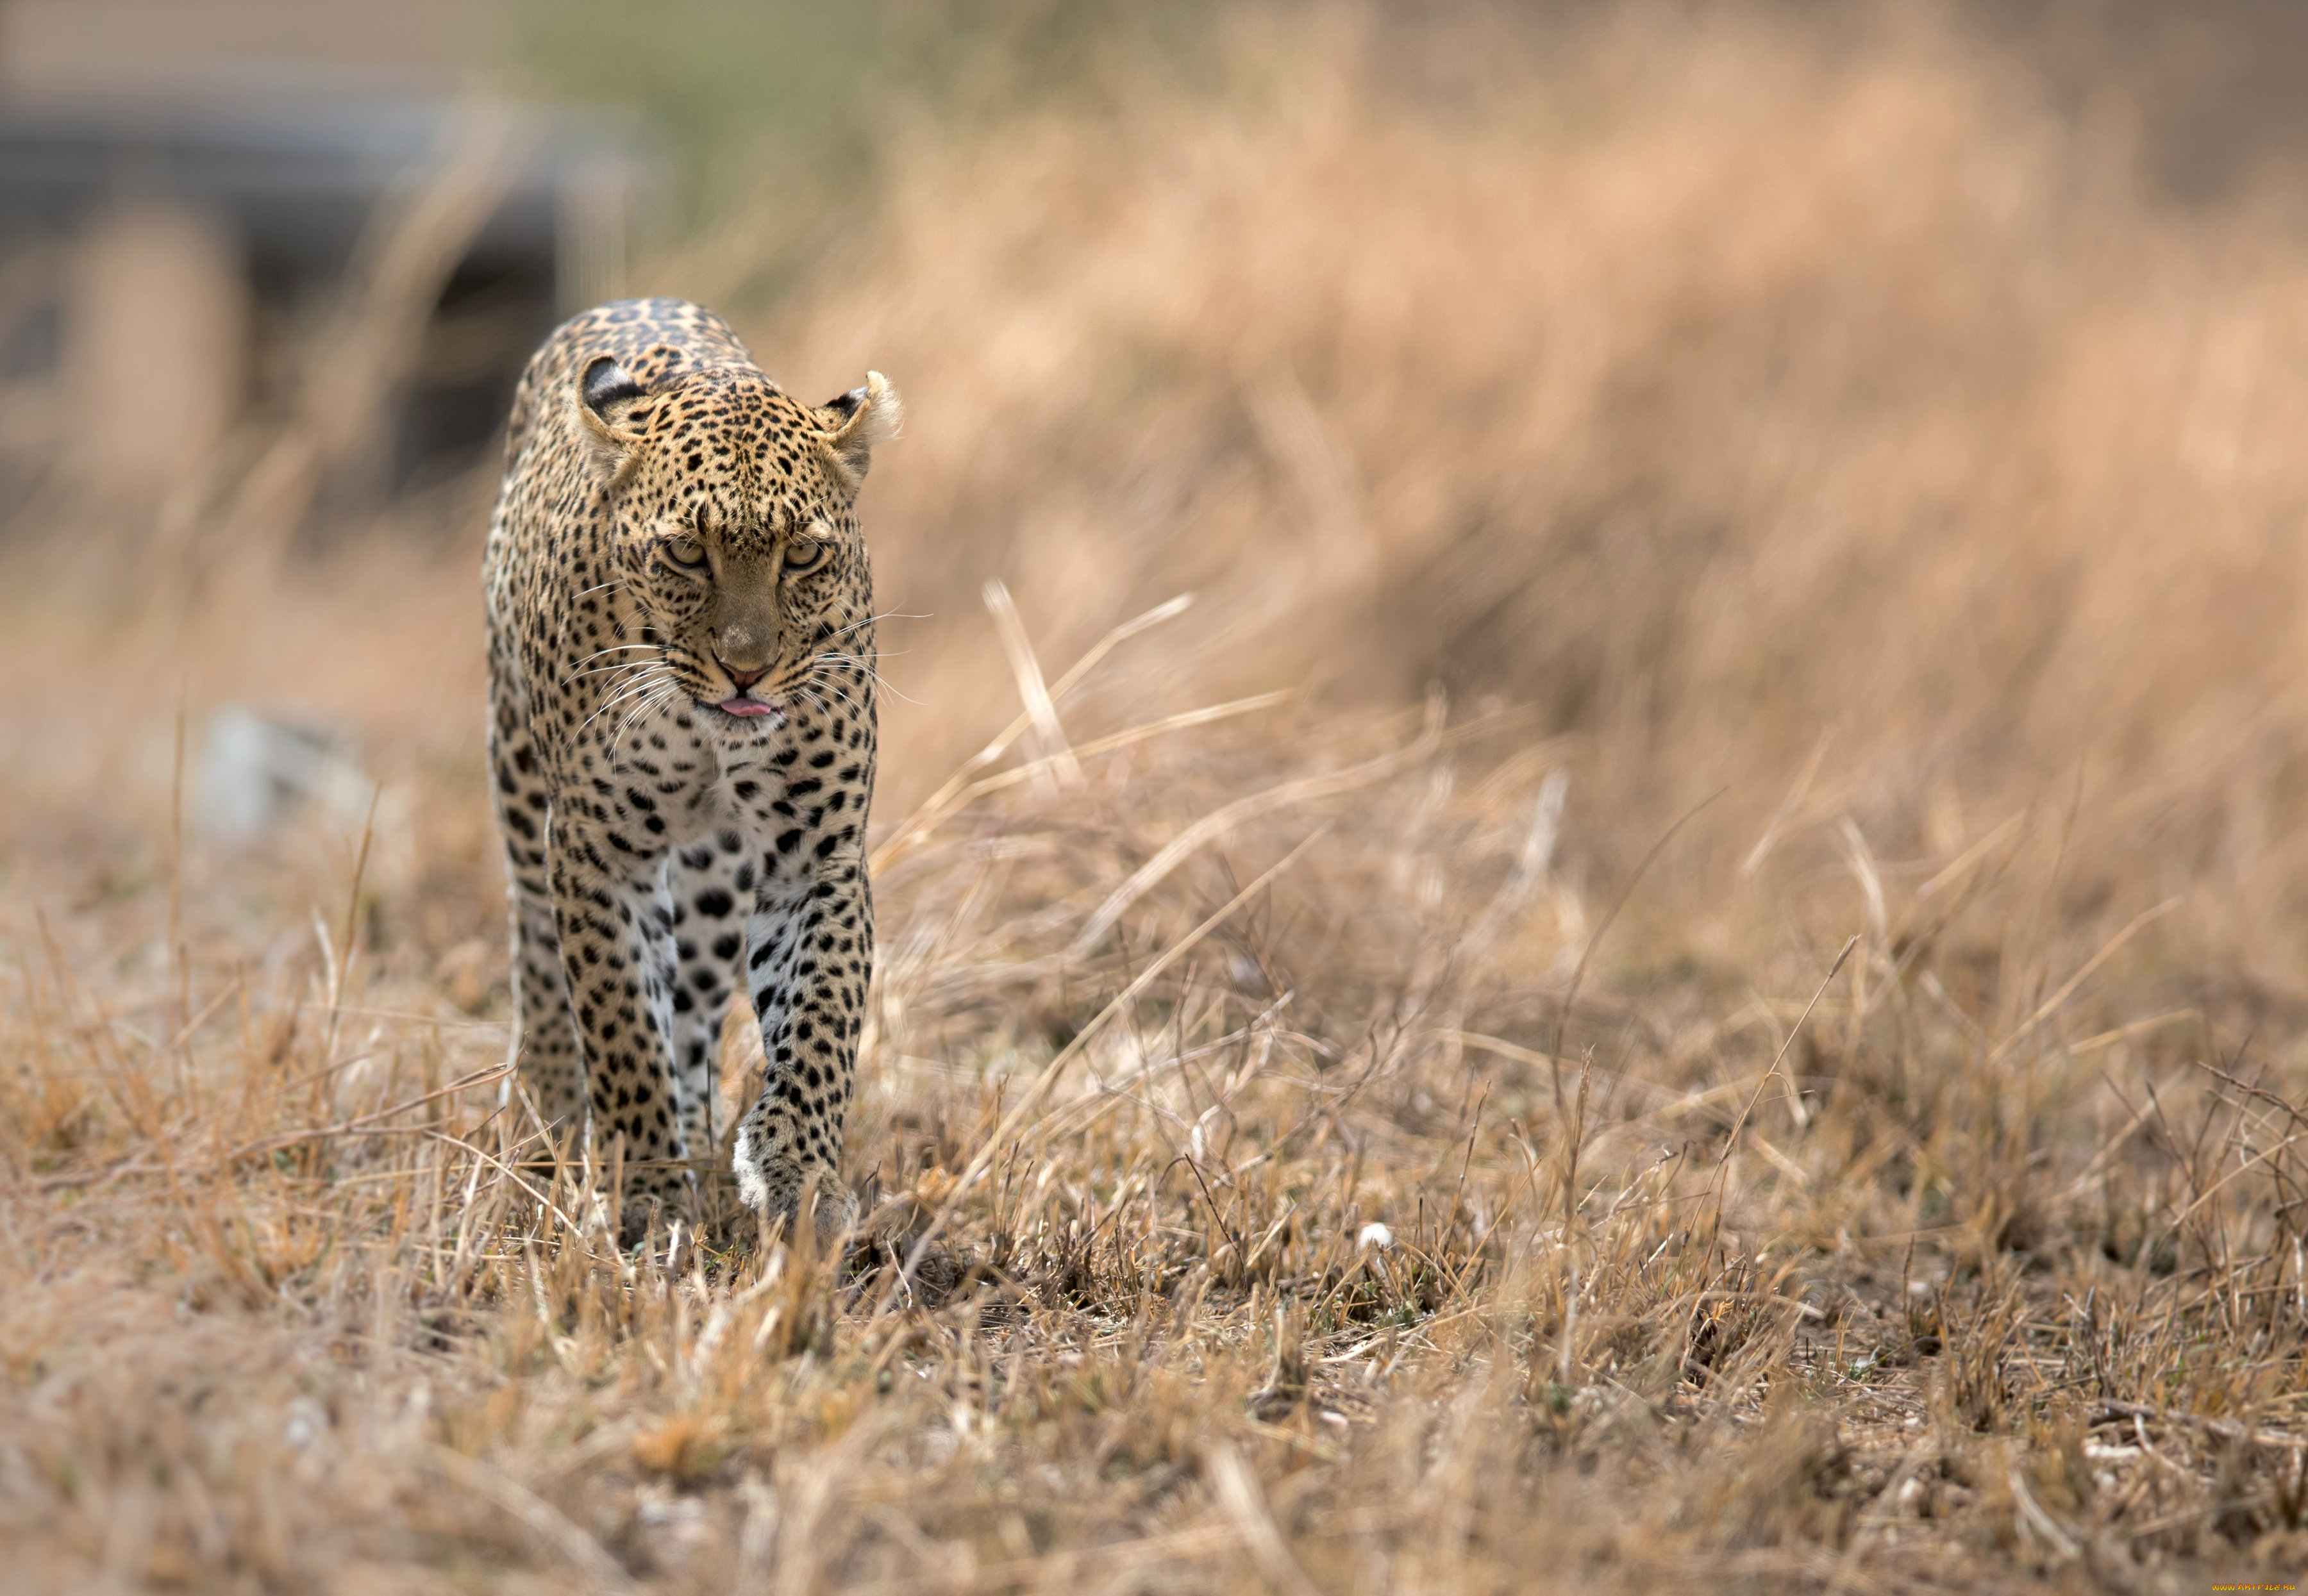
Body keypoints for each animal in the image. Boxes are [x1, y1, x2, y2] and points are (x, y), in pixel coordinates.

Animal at [487, 302, 900, 1245]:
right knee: (538, 951)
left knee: (696, 1003)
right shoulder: (597, 852)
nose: (747, 672)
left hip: (714, 880)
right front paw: (642, 1194)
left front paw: (796, 1170)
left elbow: (820, 1019)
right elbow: (619, 1025)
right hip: (520, 783)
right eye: (683, 553)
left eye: (802, 556)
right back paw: (550, 1110)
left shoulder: (815, 853)